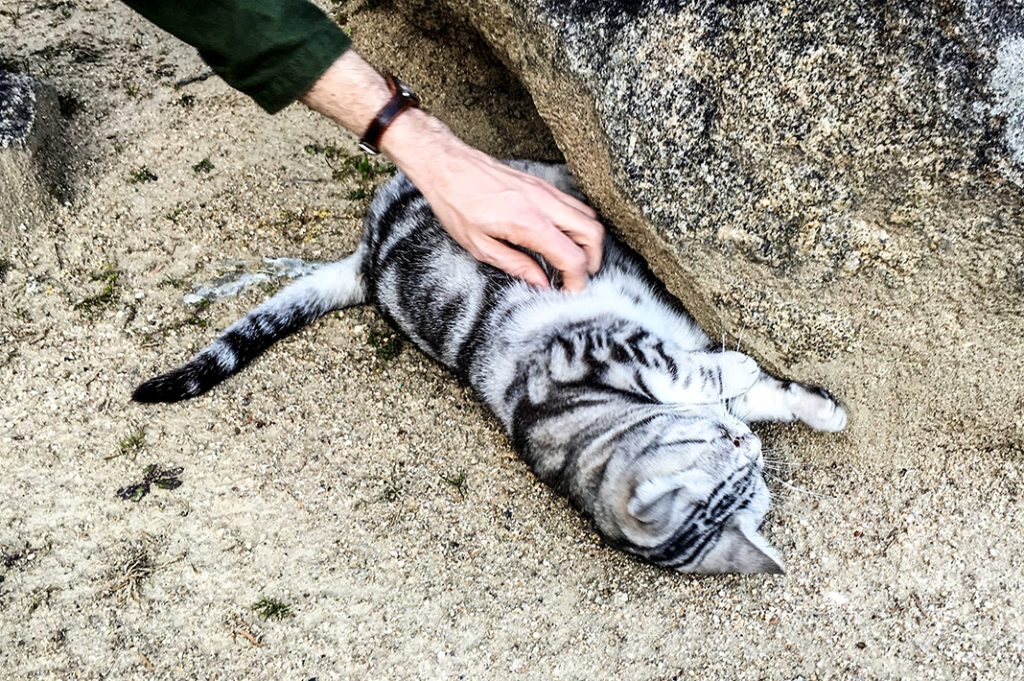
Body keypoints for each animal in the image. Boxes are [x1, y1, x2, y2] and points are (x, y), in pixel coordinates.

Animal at [132, 159, 843, 573]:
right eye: (736, 462)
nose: (750, 446)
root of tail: (365, 261)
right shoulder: (587, 351)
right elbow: (690, 371)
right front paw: (739, 371)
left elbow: (767, 393)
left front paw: (821, 410)